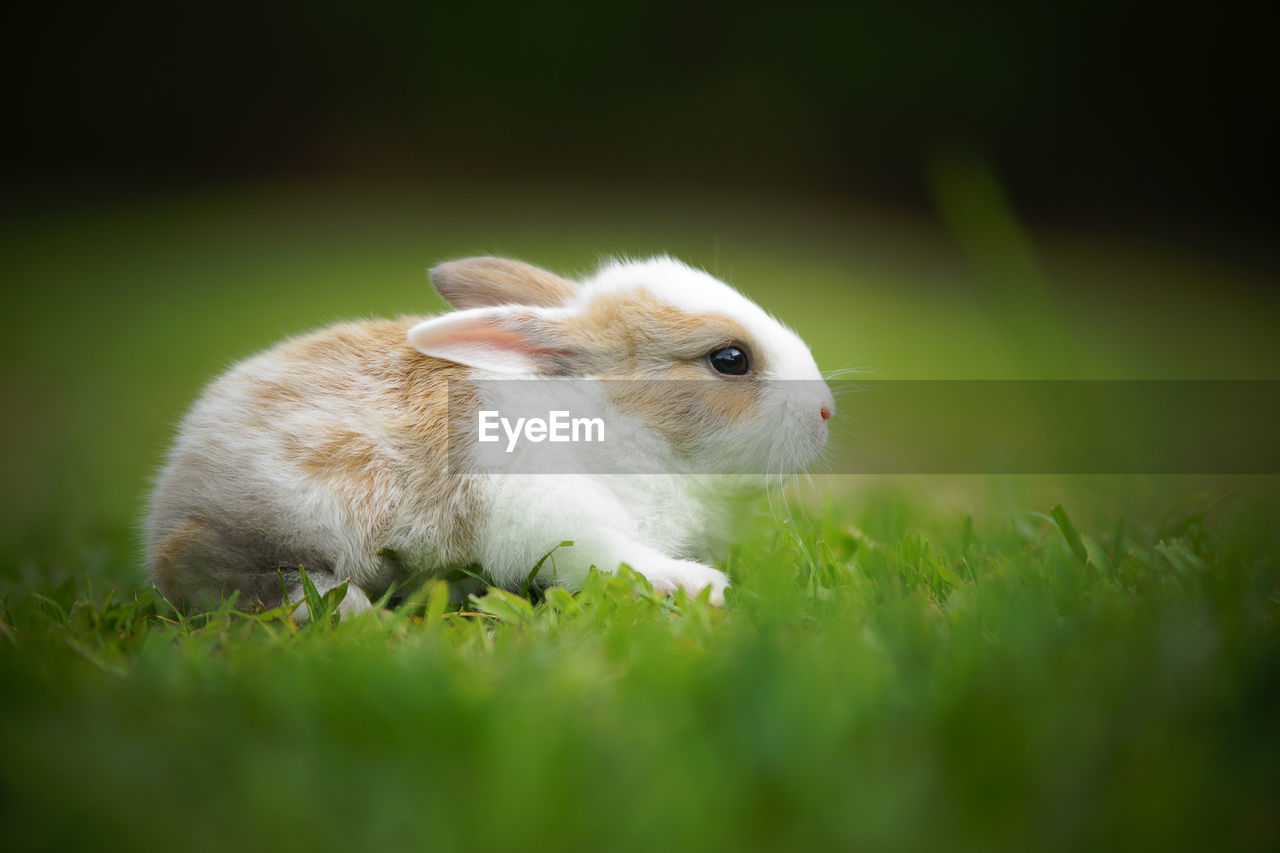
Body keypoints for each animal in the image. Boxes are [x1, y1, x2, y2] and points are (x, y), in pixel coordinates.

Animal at [145, 252, 834, 617]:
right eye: (730, 360)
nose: (826, 412)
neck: (612, 418)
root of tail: (167, 498)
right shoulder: (551, 511)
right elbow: (611, 555)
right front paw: (695, 584)